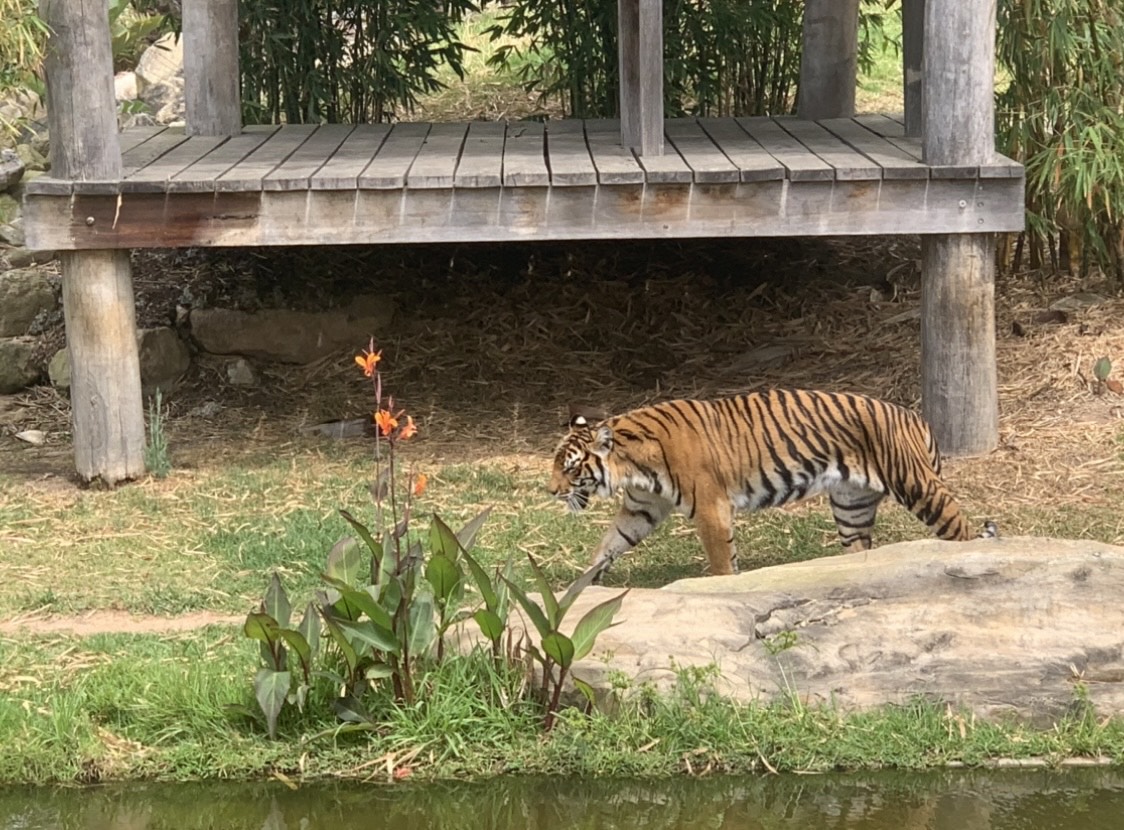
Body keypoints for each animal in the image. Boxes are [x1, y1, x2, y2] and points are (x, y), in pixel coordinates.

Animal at [548, 389, 998, 578]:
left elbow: (721, 560)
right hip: (851, 506)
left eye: (570, 468)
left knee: (962, 531)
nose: (551, 491)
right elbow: (610, 543)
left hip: (919, 487)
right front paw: (584, 584)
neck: (632, 463)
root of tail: (916, 417)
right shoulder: (642, 507)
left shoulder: (710, 506)